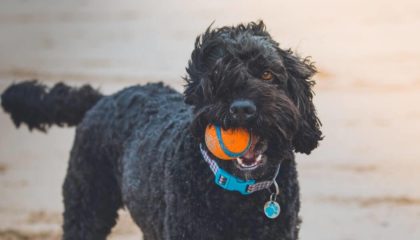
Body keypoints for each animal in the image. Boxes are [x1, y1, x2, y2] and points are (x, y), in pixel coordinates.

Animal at [1, 21, 322, 239]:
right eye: (217, 77)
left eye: (267, 74)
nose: (242, 108)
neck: (238, 191)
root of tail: (103, 98)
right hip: (87, 205)